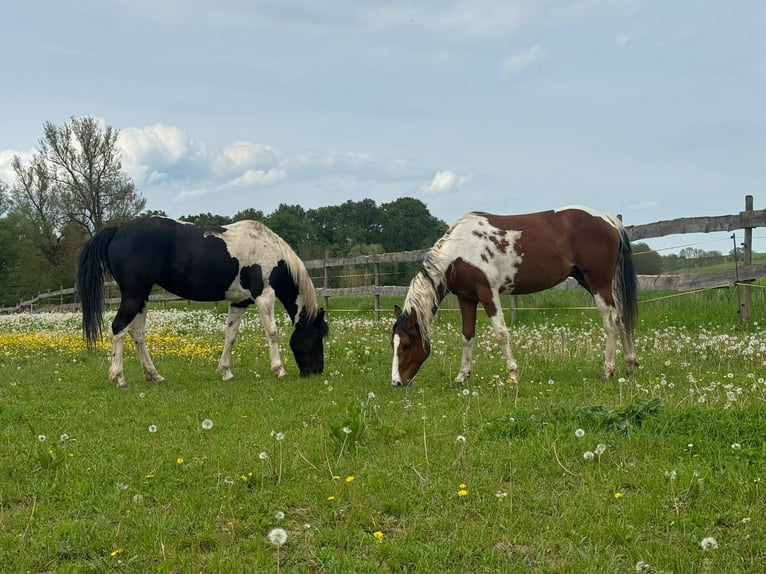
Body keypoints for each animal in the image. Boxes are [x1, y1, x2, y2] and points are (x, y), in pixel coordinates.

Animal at [77, 216, 328, 388]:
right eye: (317, 338)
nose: (317, 371)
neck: (268, 249)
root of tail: (118, 231)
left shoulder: (239, 302)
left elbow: (231, 336)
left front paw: (226, 371)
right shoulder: (263, 295)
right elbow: (273, 332)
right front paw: (279, 370)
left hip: (142, 297)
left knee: (137, 333)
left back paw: (154, 375)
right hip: (133, 295)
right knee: (119, 329)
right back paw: (119, 377)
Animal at [391, 206, 638, 387]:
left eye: (406, 345)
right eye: (392, 343)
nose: (397, 382)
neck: (459, 252)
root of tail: (608, 220)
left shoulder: (488, 293)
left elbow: (501, 334)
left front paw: (513, 374)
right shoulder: (467, 298)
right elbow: (467, 336)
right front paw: (462, 376)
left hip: (598, 283)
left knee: (610, 322)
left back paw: (607, 371)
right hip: (588, 281)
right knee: (622, 318)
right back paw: (630, 365)